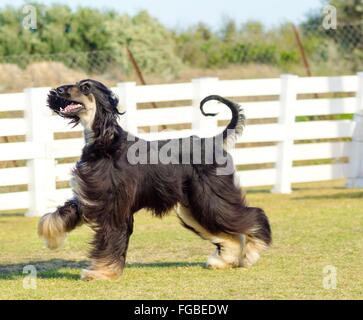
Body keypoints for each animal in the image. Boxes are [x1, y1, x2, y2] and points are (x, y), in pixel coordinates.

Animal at [38, 79, 272, 280]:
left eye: (85, 87)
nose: (57, 90)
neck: (105, 141)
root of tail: (214, 141)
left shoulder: (114, 205)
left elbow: (111, 238)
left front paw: (101, 272)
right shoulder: (91, 196)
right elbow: (61, 214)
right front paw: (50, 235)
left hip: (211, 197)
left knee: (254, 215)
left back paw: (251, 253)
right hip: (192, 207)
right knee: (228, 233)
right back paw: (224, 260)